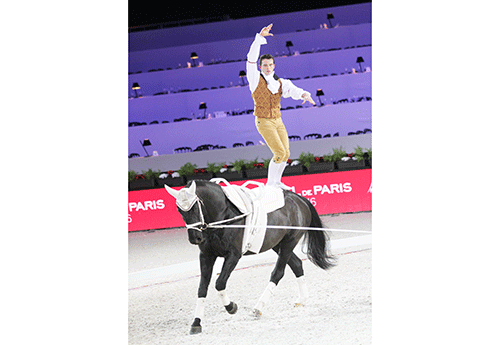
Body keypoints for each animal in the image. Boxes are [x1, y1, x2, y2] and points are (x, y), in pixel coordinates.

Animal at [164, 180, 336, 334]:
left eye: (194, 207)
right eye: (179, 210)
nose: (195, 238)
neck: (222, 216)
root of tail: (299, 199)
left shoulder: (233, 255)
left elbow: (219, 283)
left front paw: (231, 307)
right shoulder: (206, 255)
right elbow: (202, 288)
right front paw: (196, 323)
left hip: (289, 241)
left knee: (278, 273)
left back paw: (258, 308)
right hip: (277, 244)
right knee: (297, 264)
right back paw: (301, 300)